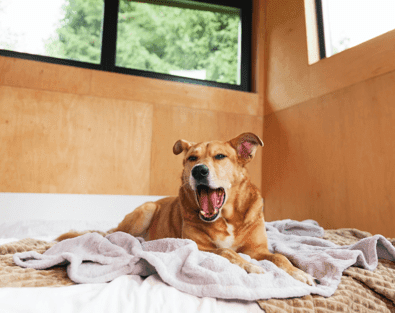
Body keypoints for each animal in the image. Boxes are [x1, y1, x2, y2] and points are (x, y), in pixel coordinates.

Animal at [56, 132, 316, 286]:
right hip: (146, 210)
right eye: (192, 158)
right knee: (114, 236)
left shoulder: (258, 249)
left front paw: (299, 273)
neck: (226, 218)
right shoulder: (199, 247)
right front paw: (250, 266)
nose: (199, 171)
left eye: (220, 156)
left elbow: (280, 257)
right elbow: (226, 251)